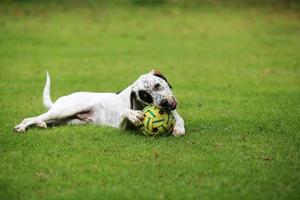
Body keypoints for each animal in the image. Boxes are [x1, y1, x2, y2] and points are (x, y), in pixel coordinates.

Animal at [14, 69, 185, 136]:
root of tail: (59, 100)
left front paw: (178, 128)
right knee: (30, 118)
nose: (164, 103)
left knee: (41, 119)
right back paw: (22, 127)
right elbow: (125, 114)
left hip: (68, 120)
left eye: (157, 85)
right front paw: (131, 114)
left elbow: (180, 120)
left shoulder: (175, 112)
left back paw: (40, 124)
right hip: (63, 111)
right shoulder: (122, 126)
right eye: (146, 96)